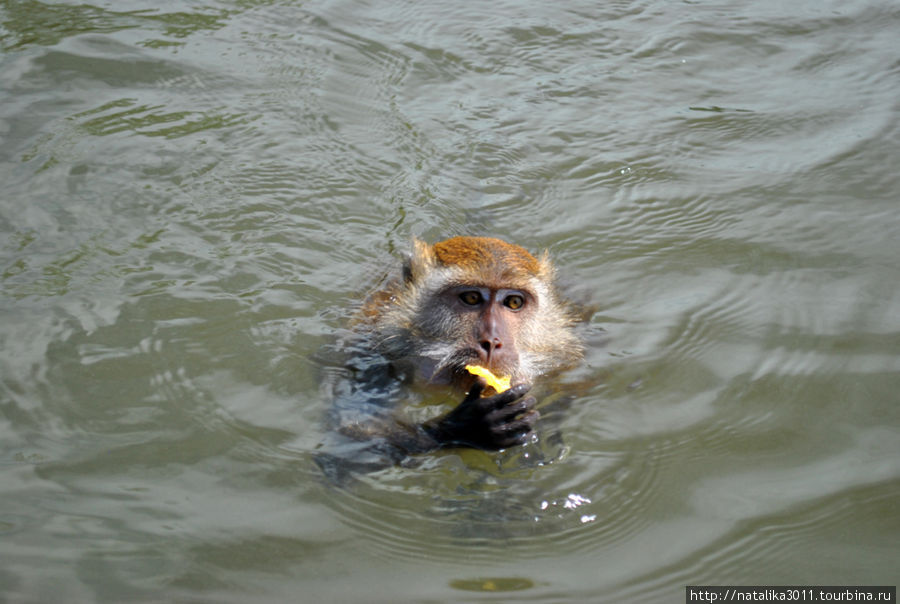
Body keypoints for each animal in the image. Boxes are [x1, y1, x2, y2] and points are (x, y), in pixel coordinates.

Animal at [316, 236, 584, 476]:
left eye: (514, 302)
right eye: (472, 298)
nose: (492, 341)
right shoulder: (370, 350)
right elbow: (356, 434)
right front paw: (466, 428)